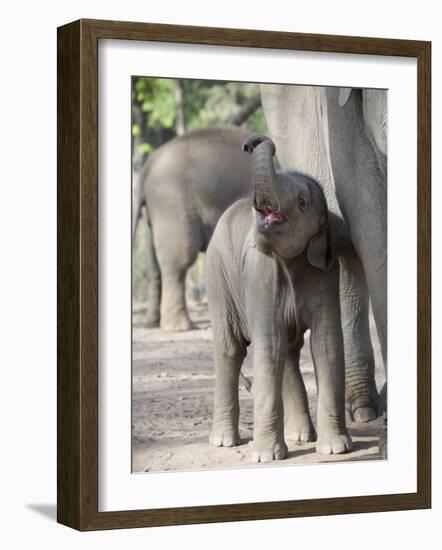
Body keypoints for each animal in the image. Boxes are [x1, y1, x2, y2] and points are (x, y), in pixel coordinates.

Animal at [133, 125, 254, 332]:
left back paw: (152, 323)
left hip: (154, 214)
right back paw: (180, 327)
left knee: (155, 263)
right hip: (172, 205)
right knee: (179, 261)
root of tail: (146, 169)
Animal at [206, 136, 352, 464]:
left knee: (288, 350)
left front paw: (336, 449)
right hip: (218, 277)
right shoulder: (260, 276)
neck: (291, 262)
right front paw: (264, 457)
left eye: (302, 203)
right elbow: (268, 343)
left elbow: (326, 342)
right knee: (231, 349)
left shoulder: (326, 274)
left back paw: (301, 436)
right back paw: (224, 442)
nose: (252, 142)